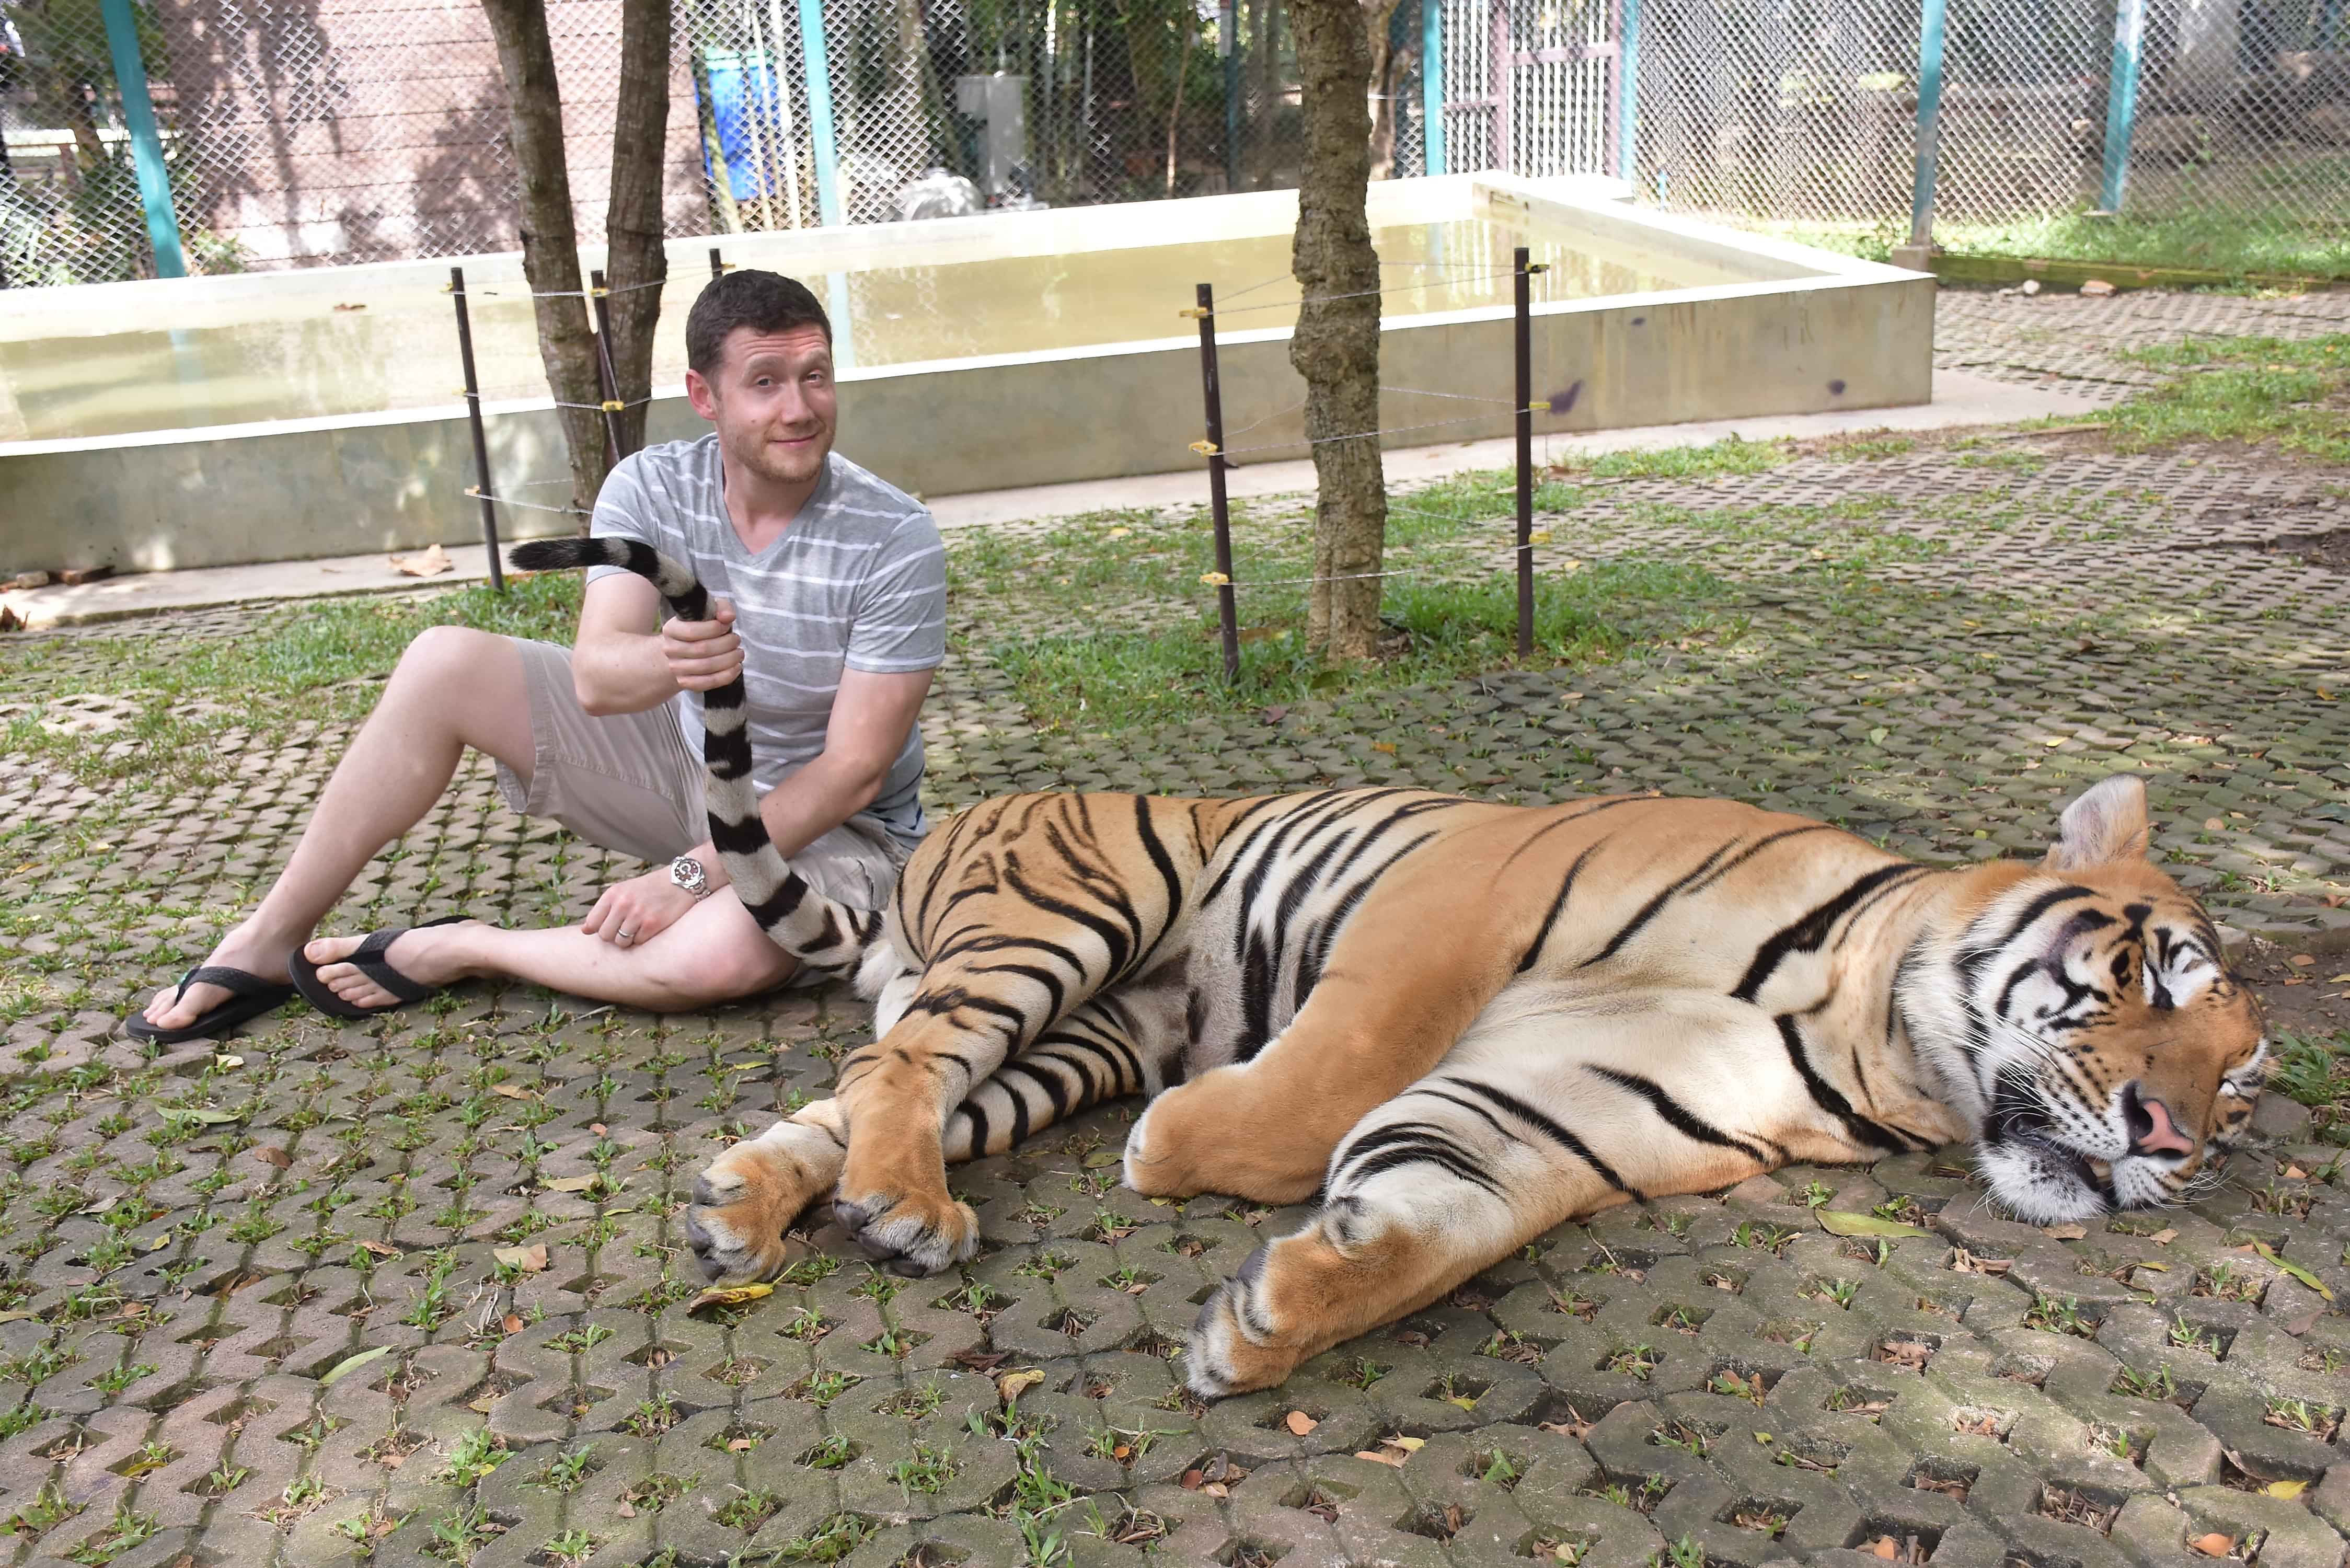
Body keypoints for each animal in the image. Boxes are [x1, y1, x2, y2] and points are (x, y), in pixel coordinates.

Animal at [510, 536, 2256, 1401]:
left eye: (2239, 1095)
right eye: (2151, 978)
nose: (2174, 1140)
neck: (1870, 1039)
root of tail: (938, 841)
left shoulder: (1575, 1110)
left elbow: (1443, 1214)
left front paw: (1270, 1322)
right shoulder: (1460, 900)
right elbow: (1331, 1078)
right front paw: (1189, 1155)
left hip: (1076, 1034)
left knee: (879, 1077)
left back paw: (752, 1205)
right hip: (1078, 912)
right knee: (901, 1059)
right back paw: (897, 1207)